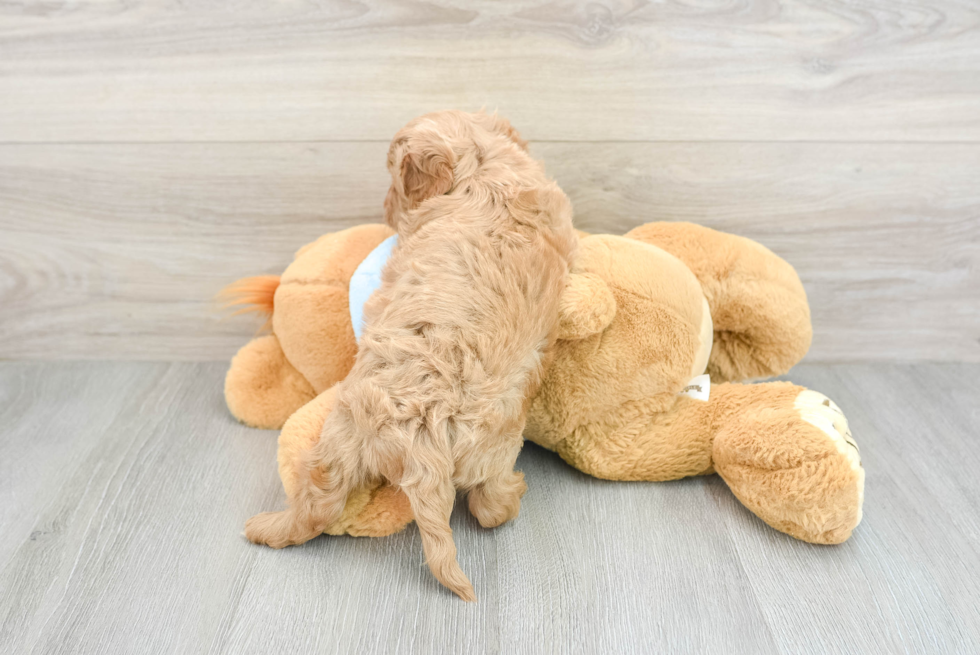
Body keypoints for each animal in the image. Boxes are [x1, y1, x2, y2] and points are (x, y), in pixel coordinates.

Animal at [245, 111, 580, 600]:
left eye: (393, 181)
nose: (384, 207)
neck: (482, 168)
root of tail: (423, 440)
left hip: (340, 441)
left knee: (318, 506)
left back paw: (266, 528)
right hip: (498, 444)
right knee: (490, 507)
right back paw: (513, 493)